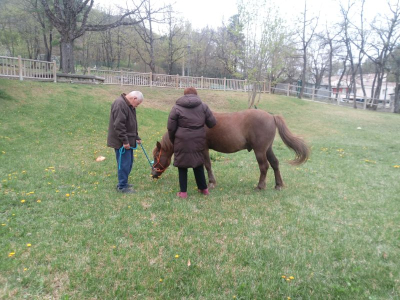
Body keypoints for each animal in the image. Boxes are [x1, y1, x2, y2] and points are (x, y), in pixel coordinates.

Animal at [150, 109, 310, 190]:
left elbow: (207, 165)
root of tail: (272, 117)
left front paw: (211, 182)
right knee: (275, 164)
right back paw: (278, 185)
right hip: (268, 149)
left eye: (157, 155)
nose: (153, 174)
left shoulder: (204, 149)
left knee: (264, 166)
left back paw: (260, 186)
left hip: (260, 151)